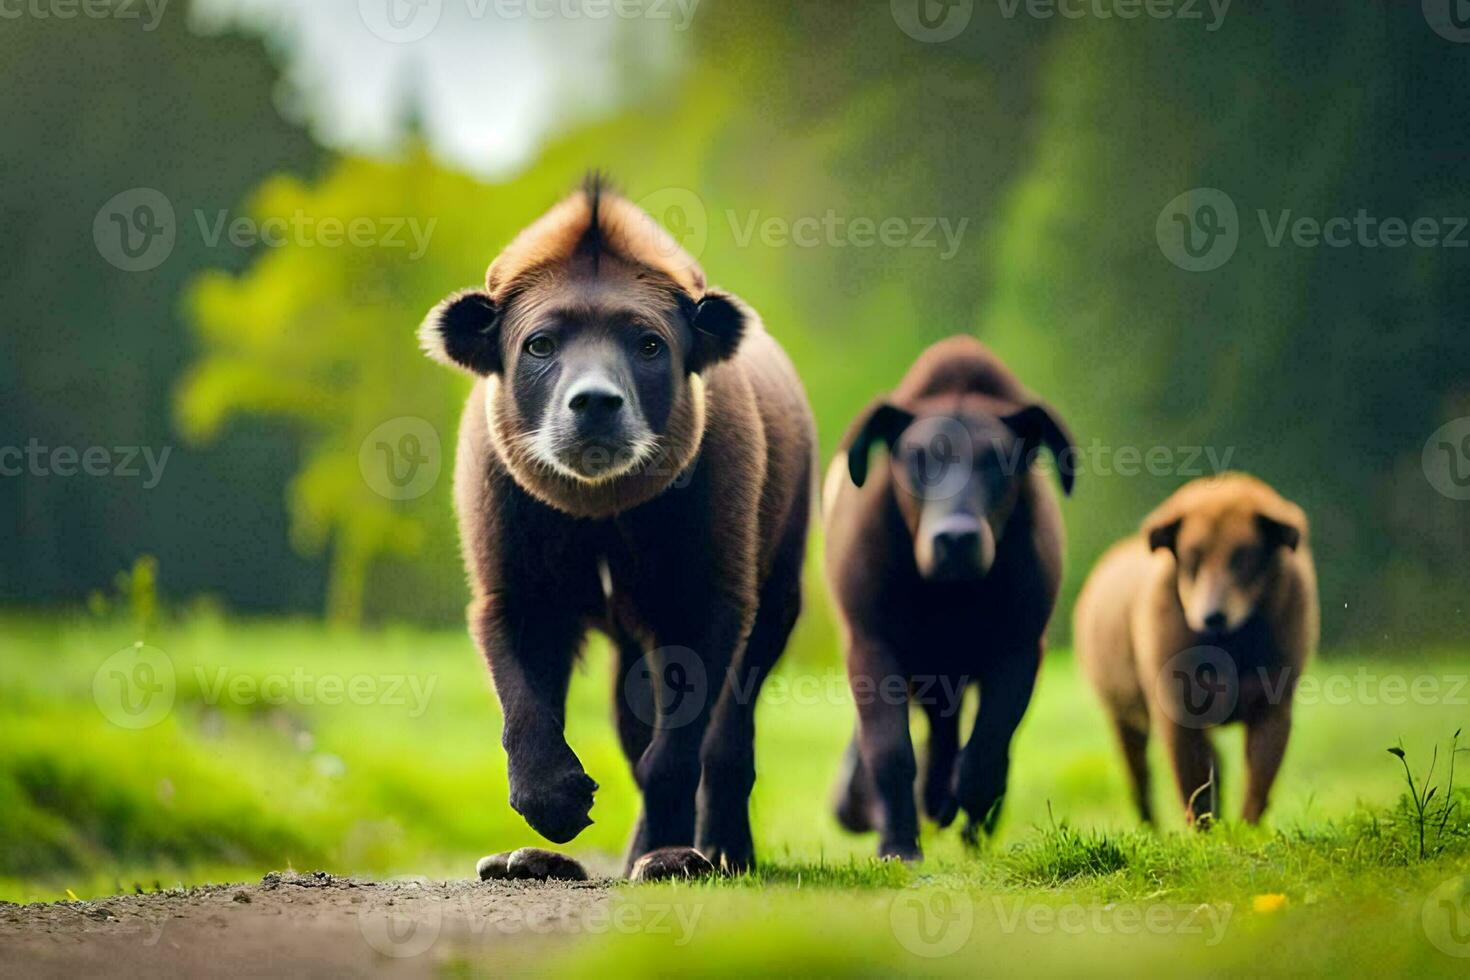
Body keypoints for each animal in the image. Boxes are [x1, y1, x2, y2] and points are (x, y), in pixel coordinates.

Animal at [420, 178, 823, 881]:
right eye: (539, 343)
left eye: (650, 343)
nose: (595, 402)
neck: (601, 514)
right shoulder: (514, 563)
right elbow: (526, 698)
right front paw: (553, 808)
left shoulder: (706, 584)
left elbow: (680, 741)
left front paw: (667, 854)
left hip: (779, 578)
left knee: (730, 733)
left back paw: (722, 849)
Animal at [823, 337, 1076, 858]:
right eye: (918, 459)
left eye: (998, 460)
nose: (956, 538)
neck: (948, 596)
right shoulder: (870, 644)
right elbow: (890, 750)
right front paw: (899, 843)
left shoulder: (1021, 650)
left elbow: (987, 751)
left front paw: (973, 818)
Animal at [1070, 476, 1323, 828]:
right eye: (1191, 557)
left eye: (1243, 556)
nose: (1212, 616)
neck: (1231, 646)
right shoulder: (1178, 709)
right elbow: (1193, 785)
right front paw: (1204, 832)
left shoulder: (1273, 706)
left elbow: (1258, 781)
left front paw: (1246, 829)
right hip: (1123, 716)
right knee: (1141, 779)